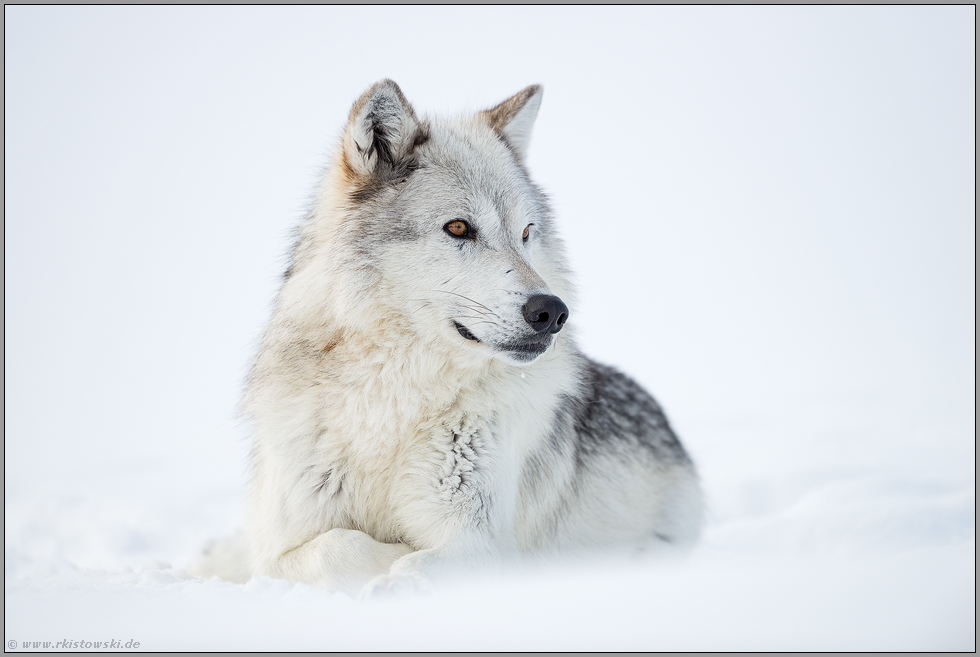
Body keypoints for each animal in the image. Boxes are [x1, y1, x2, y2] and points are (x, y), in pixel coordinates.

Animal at [203, 78, 700, 596]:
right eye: (459, 227)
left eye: (526, 233)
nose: (552, 312)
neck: (392, 403)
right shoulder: (285, 545)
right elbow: (331, 547)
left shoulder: (474, 541)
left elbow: (416, 560)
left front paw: (397, 575)